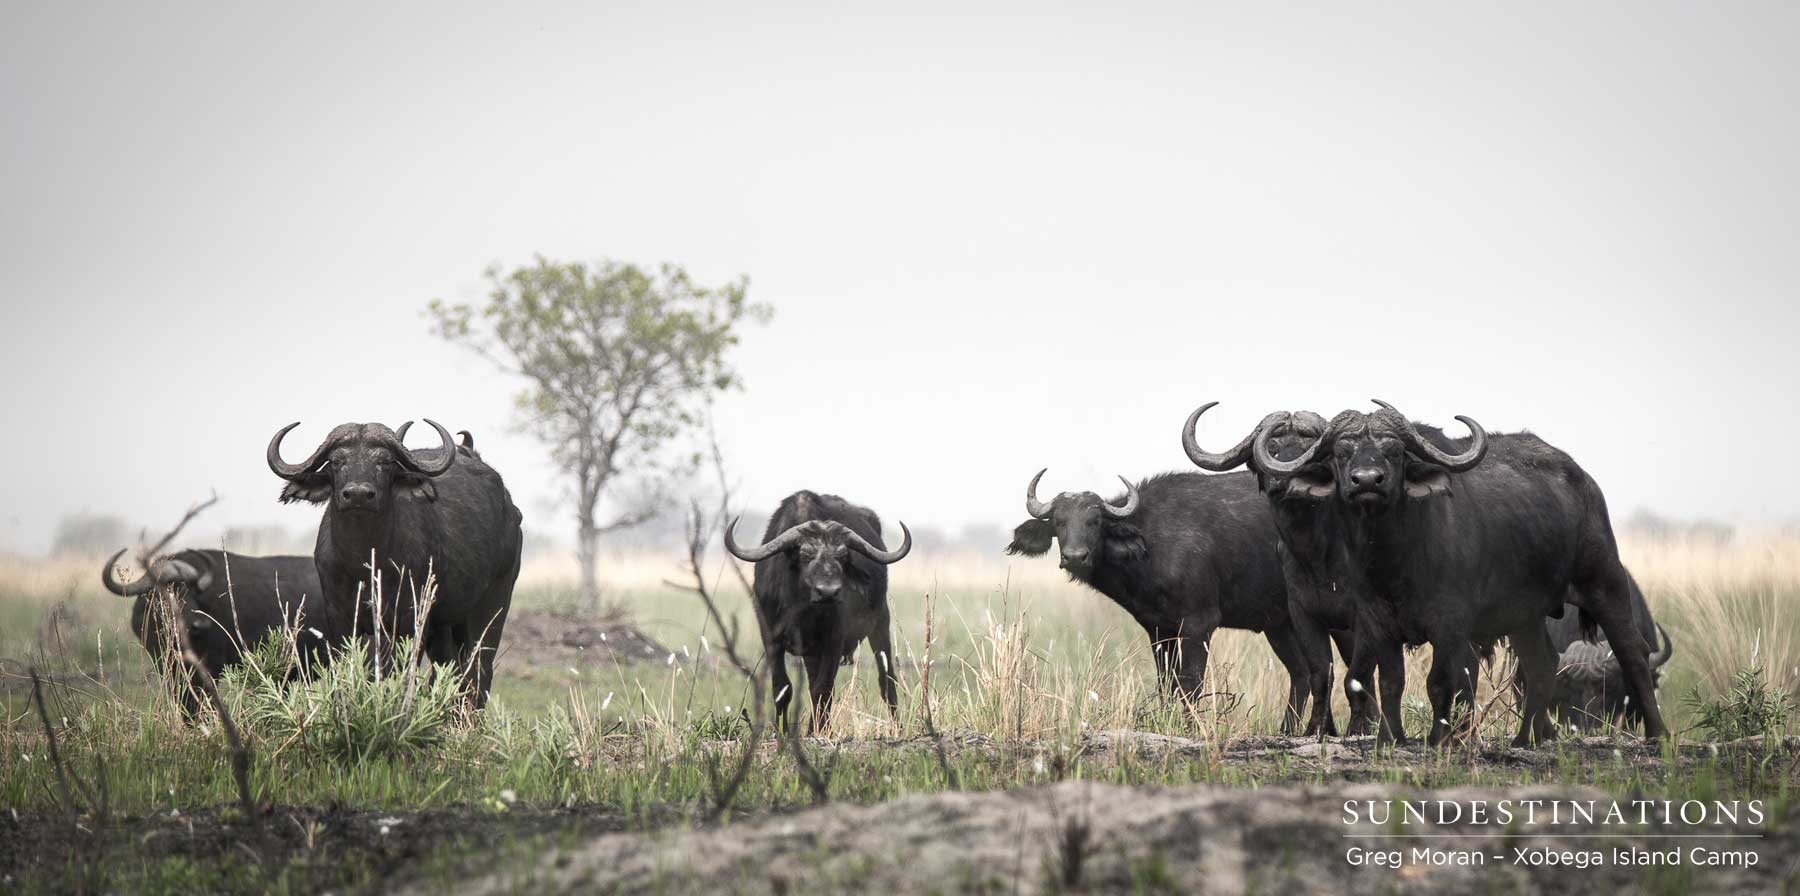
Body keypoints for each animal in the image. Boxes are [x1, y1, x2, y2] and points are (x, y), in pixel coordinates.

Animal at [267, 419, 523, 706]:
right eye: (336, 461)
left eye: (385, 462)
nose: (358, 495)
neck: (364, 560)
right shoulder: (341, 619)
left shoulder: (409, 621)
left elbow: (394, 674)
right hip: (444, 625)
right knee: (448, 670)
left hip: (492, 605)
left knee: (479, 670)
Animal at [725, 490, 911, 732]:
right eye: (805, 555)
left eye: (842, 555)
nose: (828, 592)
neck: (803, 609)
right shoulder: (771, 638)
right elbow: (782, 688)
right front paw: (783, 731)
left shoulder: (834, 640)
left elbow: (823, 689)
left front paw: (818, 731)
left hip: (880, 622)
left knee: (886, 678)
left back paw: (895, 726)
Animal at [1005, 468, 1318, 731]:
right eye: (1059, 522)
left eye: (1094, 521)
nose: (1074, 557)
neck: (1151, 546)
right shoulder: (1158, 629)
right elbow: (1167, 684)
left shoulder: (1199, 624)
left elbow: (1191, 683)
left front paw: (1190, 729)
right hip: (1279, 625)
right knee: (1302, 673)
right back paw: (1288, 731)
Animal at [1204, 401, 1666, 744]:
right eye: (1341, 453)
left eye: (1394, 451)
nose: (1367, 481)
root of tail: (1581, 478)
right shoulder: (1354, 617)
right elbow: (1374, 678)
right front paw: (1386, 738)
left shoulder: (1449, 621)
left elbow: (1437, 680)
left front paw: (1438, 739)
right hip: (1527, 615)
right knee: (1542, 662)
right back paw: (1528, 739)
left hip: (1604, 580)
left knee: (1633, 651)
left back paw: (1657, 735)